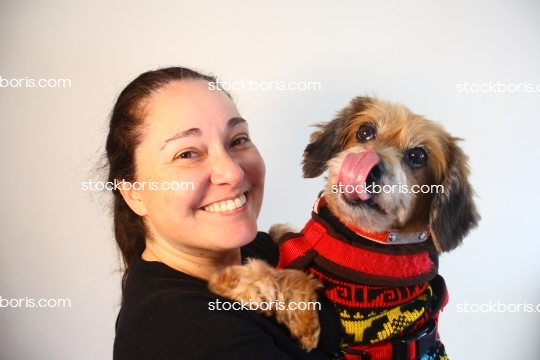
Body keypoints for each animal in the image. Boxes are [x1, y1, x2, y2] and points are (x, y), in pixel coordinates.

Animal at [209, 95, 478, 358]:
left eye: (418, 157)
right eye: (365, 131)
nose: (367, 167)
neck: (360, 237)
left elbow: (294, 279)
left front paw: (235, 278)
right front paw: (280, 231)